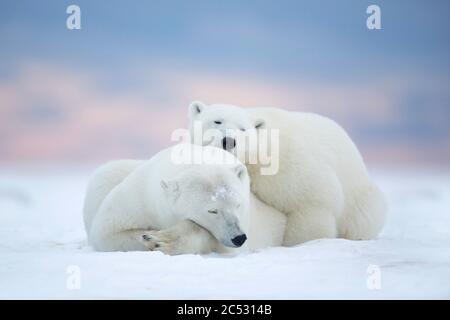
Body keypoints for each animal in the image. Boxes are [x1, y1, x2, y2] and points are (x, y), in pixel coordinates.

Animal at [82, 144, 284, 254]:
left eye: (238, 204)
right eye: (212, 210)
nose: (238, 237)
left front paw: (161, 240)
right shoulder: (140, 197)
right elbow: (108, 232)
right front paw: (150, 237)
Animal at [186, 101, 386, 246]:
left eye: (243, 129)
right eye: (217, 121)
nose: (229, 141)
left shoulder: (289, 165)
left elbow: (312, 201)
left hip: (359, 198)